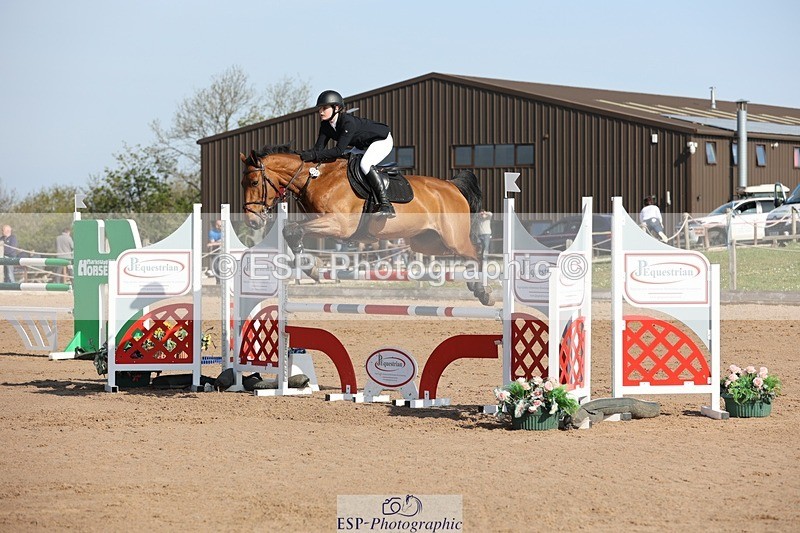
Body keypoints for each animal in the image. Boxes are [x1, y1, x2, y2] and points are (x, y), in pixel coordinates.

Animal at [239, 144, 494, 305]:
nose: (252, 221)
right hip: (429, 242)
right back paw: (475, 286)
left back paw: (483, 291)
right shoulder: (318, 222)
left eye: (254, 182)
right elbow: (291, 230)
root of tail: (452, 186)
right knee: (469, 253)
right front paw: (310, 267)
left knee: (477, 251)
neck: (315, 178)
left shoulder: (339, 225)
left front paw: (312, 267)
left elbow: (292, 229)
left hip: (453, 238)